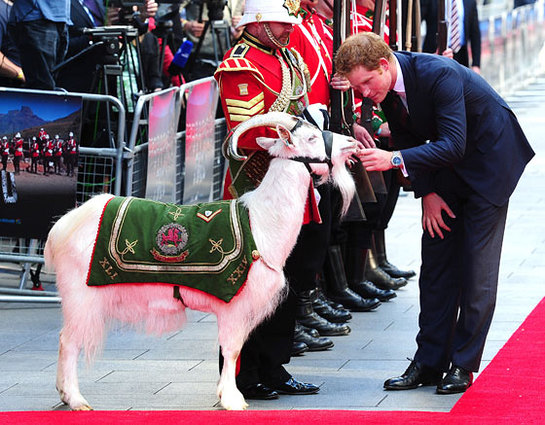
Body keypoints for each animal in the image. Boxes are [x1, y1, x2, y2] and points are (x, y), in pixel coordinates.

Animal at [45, 111, 356, 410]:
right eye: (312, 138)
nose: (351, 142)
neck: (260, 222)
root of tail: (61, 228)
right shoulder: (234, 304)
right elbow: (232, 350)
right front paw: (232, 399)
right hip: (80, 294)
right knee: (68, 341)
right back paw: (76, 400)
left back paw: (64, 394)